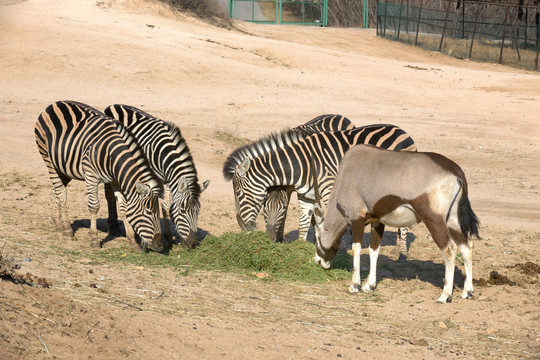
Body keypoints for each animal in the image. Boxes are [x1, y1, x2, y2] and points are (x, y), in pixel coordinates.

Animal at [34, 100, 163, 253]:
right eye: (148, 212)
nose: (159, 246)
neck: (111, 155)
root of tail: (54, 104)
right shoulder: (91, 176)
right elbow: (94, 206)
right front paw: (94, 239)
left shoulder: (116, 181)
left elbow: (124, 208)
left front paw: (132, 241)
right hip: (48, 160)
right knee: (61, 192)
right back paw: (66, 228)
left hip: (64, 167)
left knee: (57, 189)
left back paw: (57, 222)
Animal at [103, 104, 209, 249]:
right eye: (182, 211)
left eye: (198, 211)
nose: (192, 244)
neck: (163, 152)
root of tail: (113, 105)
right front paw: (144, 240)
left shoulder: (167, 180)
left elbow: (166, 206)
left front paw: (168, 237)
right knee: (109, 195)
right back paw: (113, 227)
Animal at [312, 145, 480, 302]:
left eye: (316, 238)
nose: (318, 261)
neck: (346, 173)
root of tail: (456, 173)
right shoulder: (377, 221)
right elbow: (374, 250)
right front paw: (369, 285)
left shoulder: (356, 218)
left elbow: (356, 248)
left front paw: (354, 285)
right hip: (453, 221)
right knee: (467, 247)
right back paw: (467, 292)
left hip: (434, 220)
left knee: (449, 249)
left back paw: (445, 295)